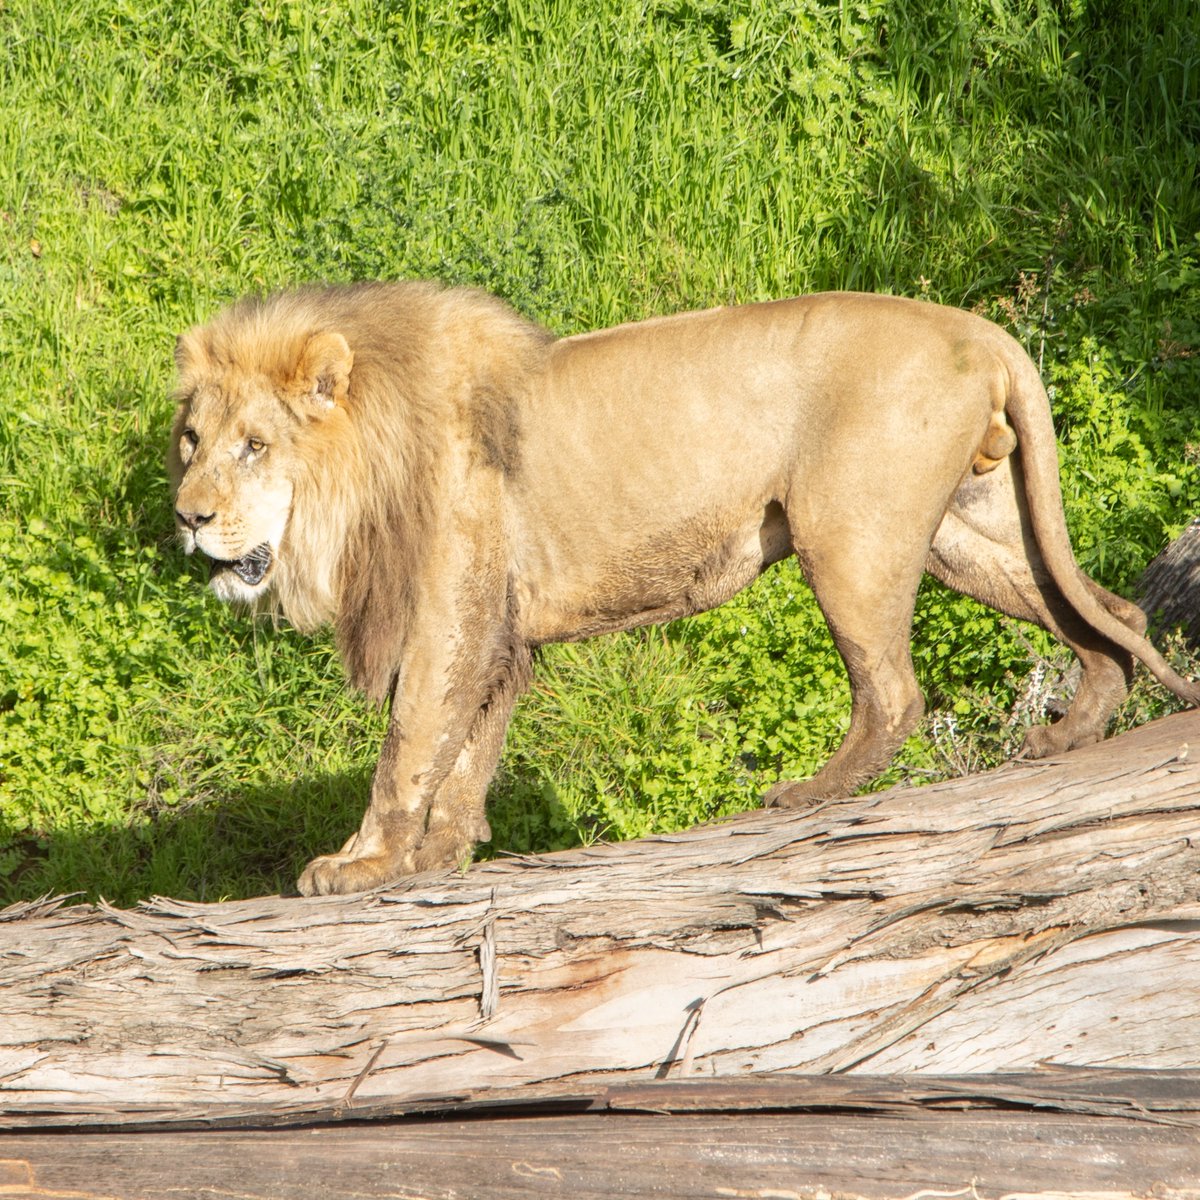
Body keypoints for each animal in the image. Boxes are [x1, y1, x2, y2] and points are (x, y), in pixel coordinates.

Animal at [169, 282, 1200, 896]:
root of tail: (982, 331)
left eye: (254, 446)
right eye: (191, 440)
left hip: (847, 532)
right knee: (1107, 614)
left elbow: (410, 743)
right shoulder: (497, 626)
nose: (187, 517)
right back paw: (1071, 732)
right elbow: (466, 753)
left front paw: (363, 863)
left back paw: (809, 794)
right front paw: (439, 857)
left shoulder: (449, 612)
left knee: (895, 691)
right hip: (970, 528)